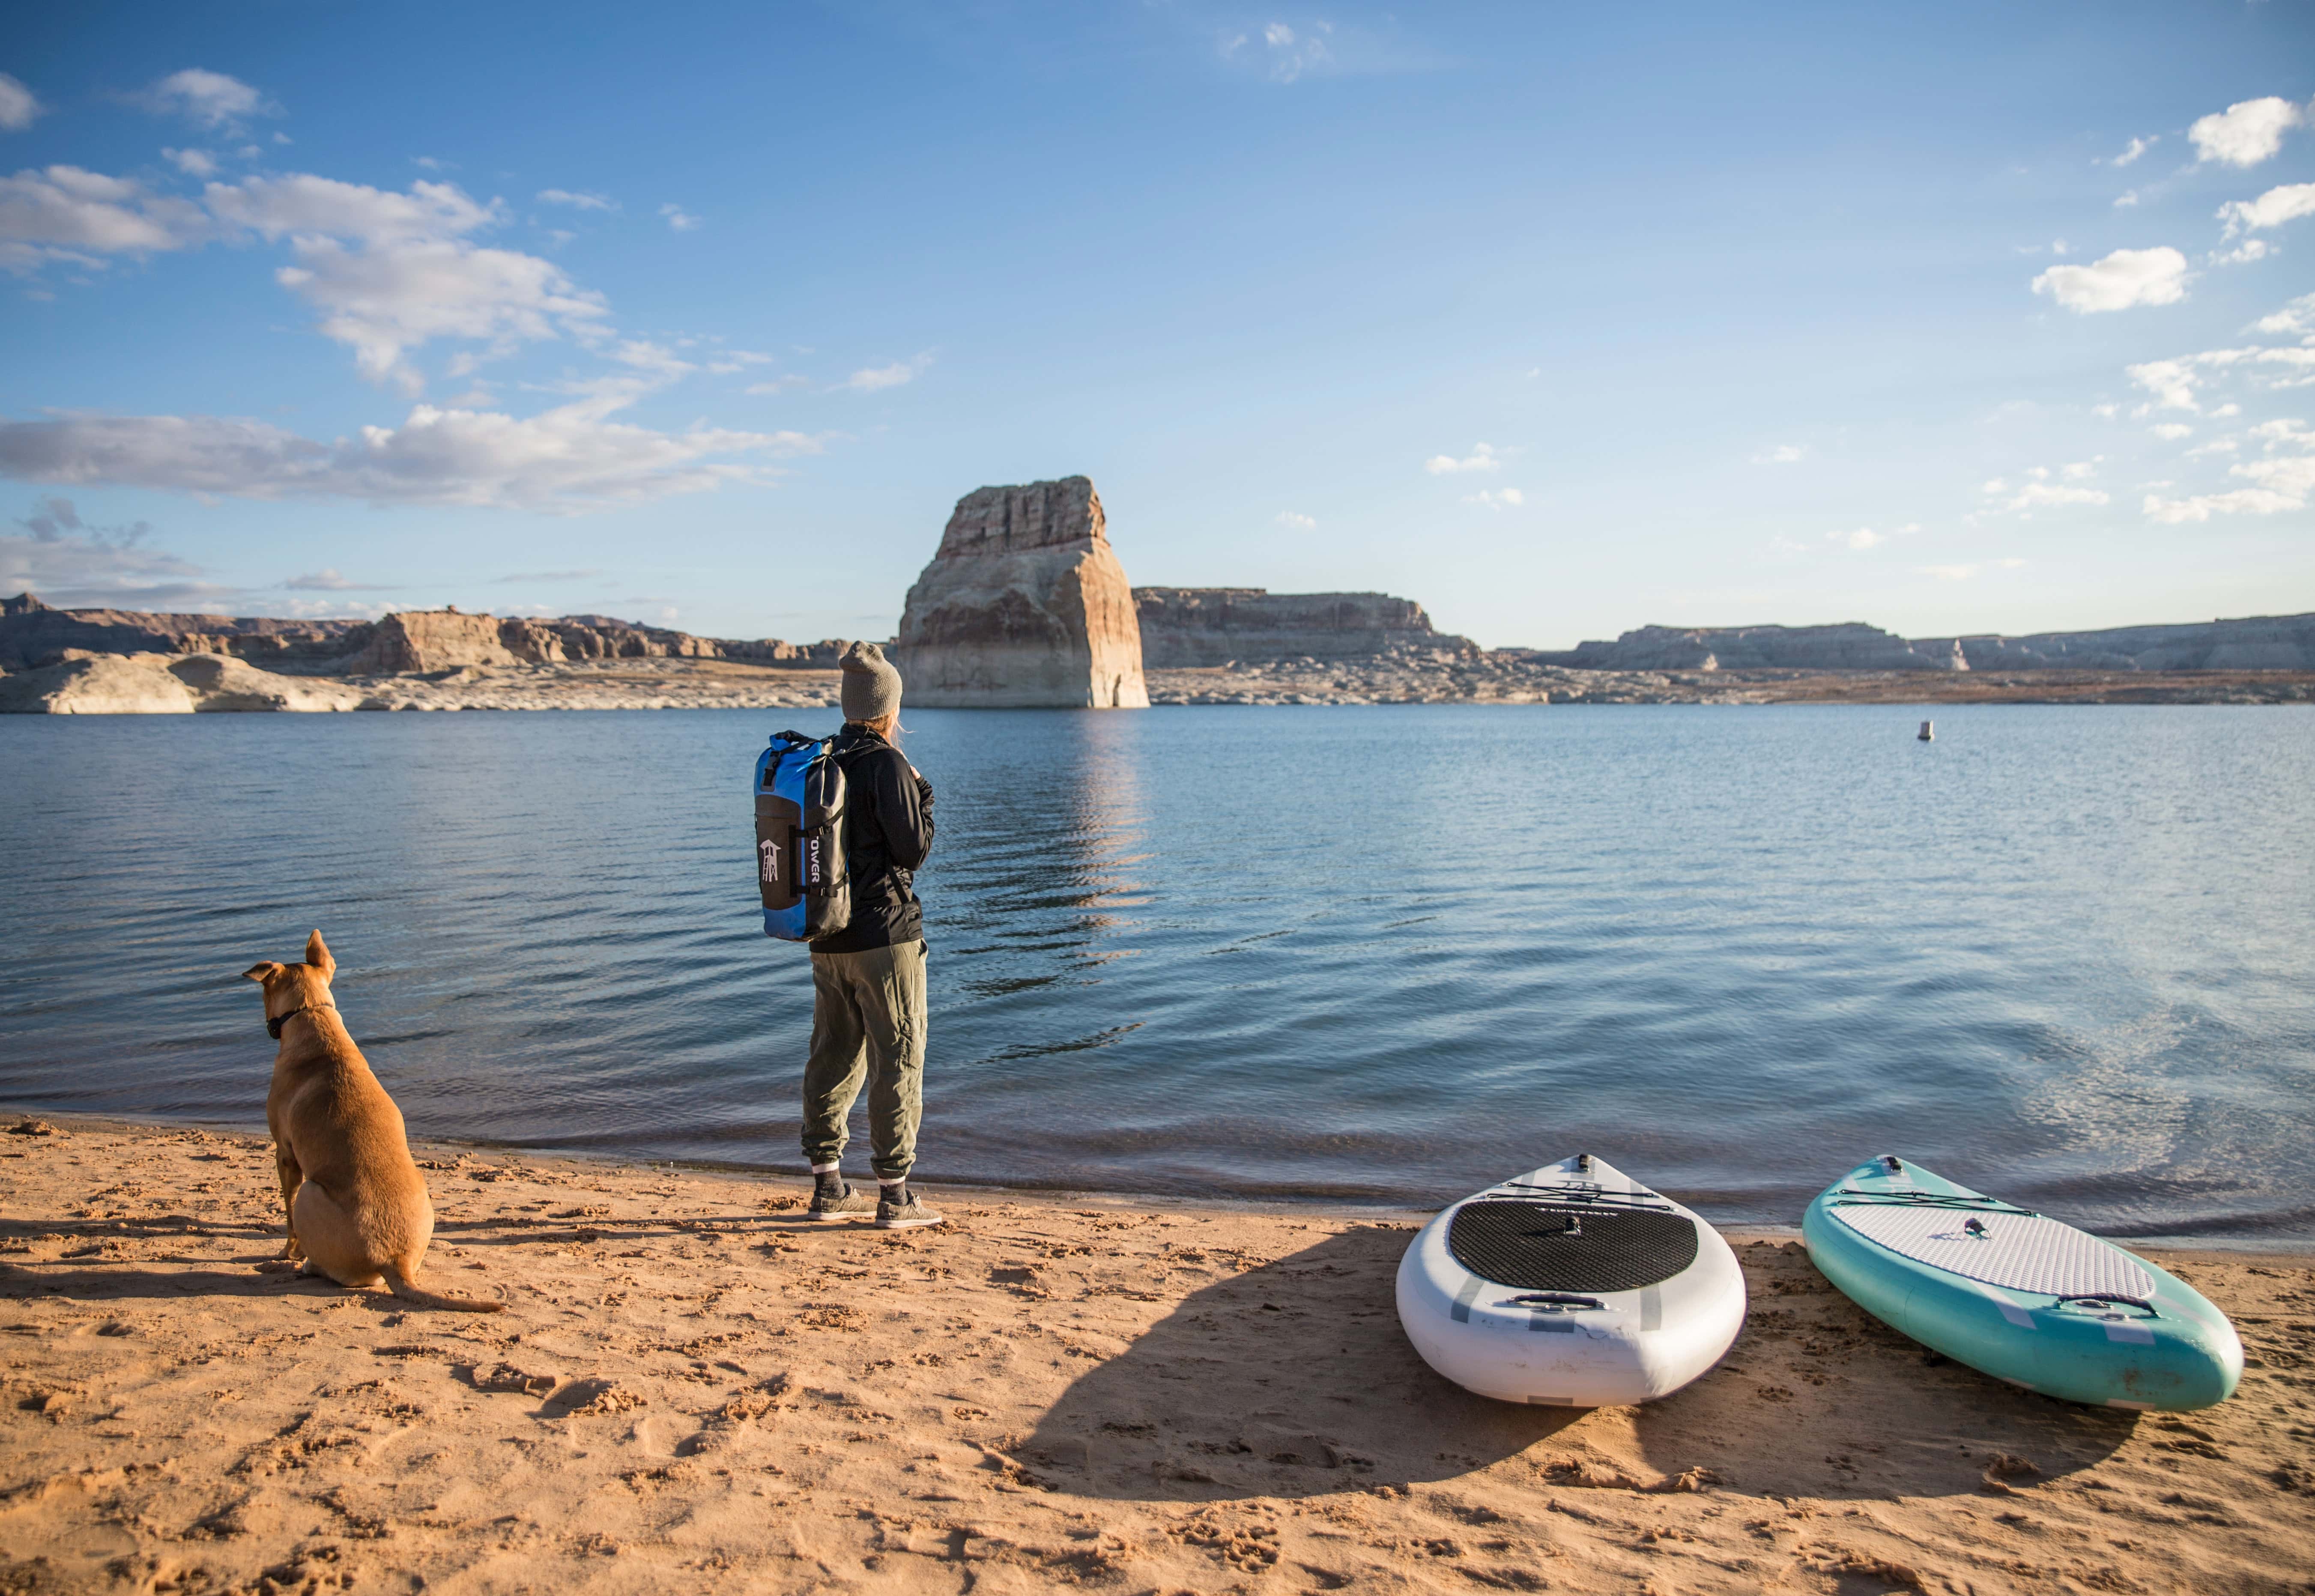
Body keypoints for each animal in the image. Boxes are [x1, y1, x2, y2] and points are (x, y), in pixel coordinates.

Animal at [242, 925, 500, 1314]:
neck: (313, 1018)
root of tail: (394, 1260)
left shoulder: (284, 1154)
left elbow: (286, 1215)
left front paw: (287, 1252)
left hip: (310, 1192)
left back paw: (307, 1265)